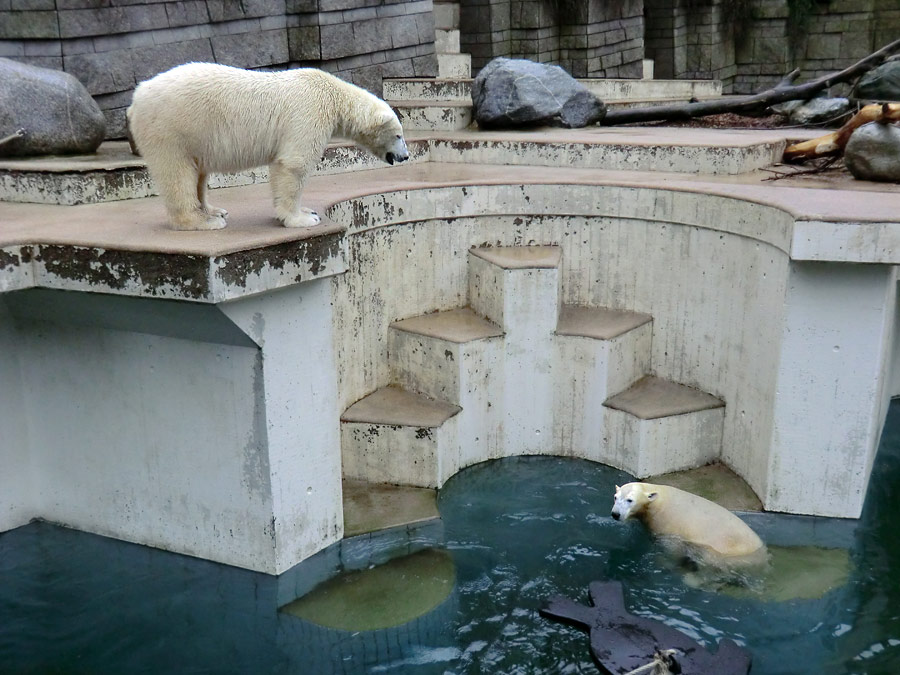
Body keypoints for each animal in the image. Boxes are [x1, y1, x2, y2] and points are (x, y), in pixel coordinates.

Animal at [126, 63, 408, 232]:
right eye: (398, 135)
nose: (405, 156)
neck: (332, 95)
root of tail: (136, 99)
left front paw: (306, 210)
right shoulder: (308, 114)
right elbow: (294, 165)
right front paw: (303, 218)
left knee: (198, 173)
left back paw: (214, 210)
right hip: (172, 129)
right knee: (177, 173)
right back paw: (204, 220)